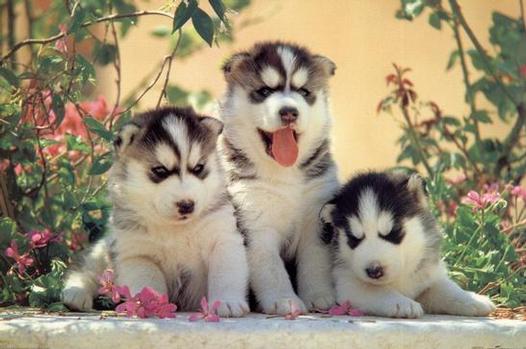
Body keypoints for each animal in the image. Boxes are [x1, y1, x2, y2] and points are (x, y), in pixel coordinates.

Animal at [60, 106, 251, 316]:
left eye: (199, 168)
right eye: (160, 171)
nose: (187, 204)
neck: (176, 228)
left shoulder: (223, 239)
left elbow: (226, 274)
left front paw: (228, 302)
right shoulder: (137, 254)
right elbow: (149, 282)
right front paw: (151, 306)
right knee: (90, 268)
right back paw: (76, 291)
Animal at [220, 41, 340, 316]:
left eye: (304, 92)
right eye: (264, 91)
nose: (289, 112)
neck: (284, 172)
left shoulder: (316, 220)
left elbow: (315, 262)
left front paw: (319, 296)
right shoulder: (255, 222)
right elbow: (270, 268)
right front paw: (284, 300)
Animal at [322, 171, 500, 318]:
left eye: (393, 231)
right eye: (354, 238)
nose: (374, 271)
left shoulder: (428, 276)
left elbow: (448, 288)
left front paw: (474, 299)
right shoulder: (346, 283)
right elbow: (374, 289)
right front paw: (402, 303)